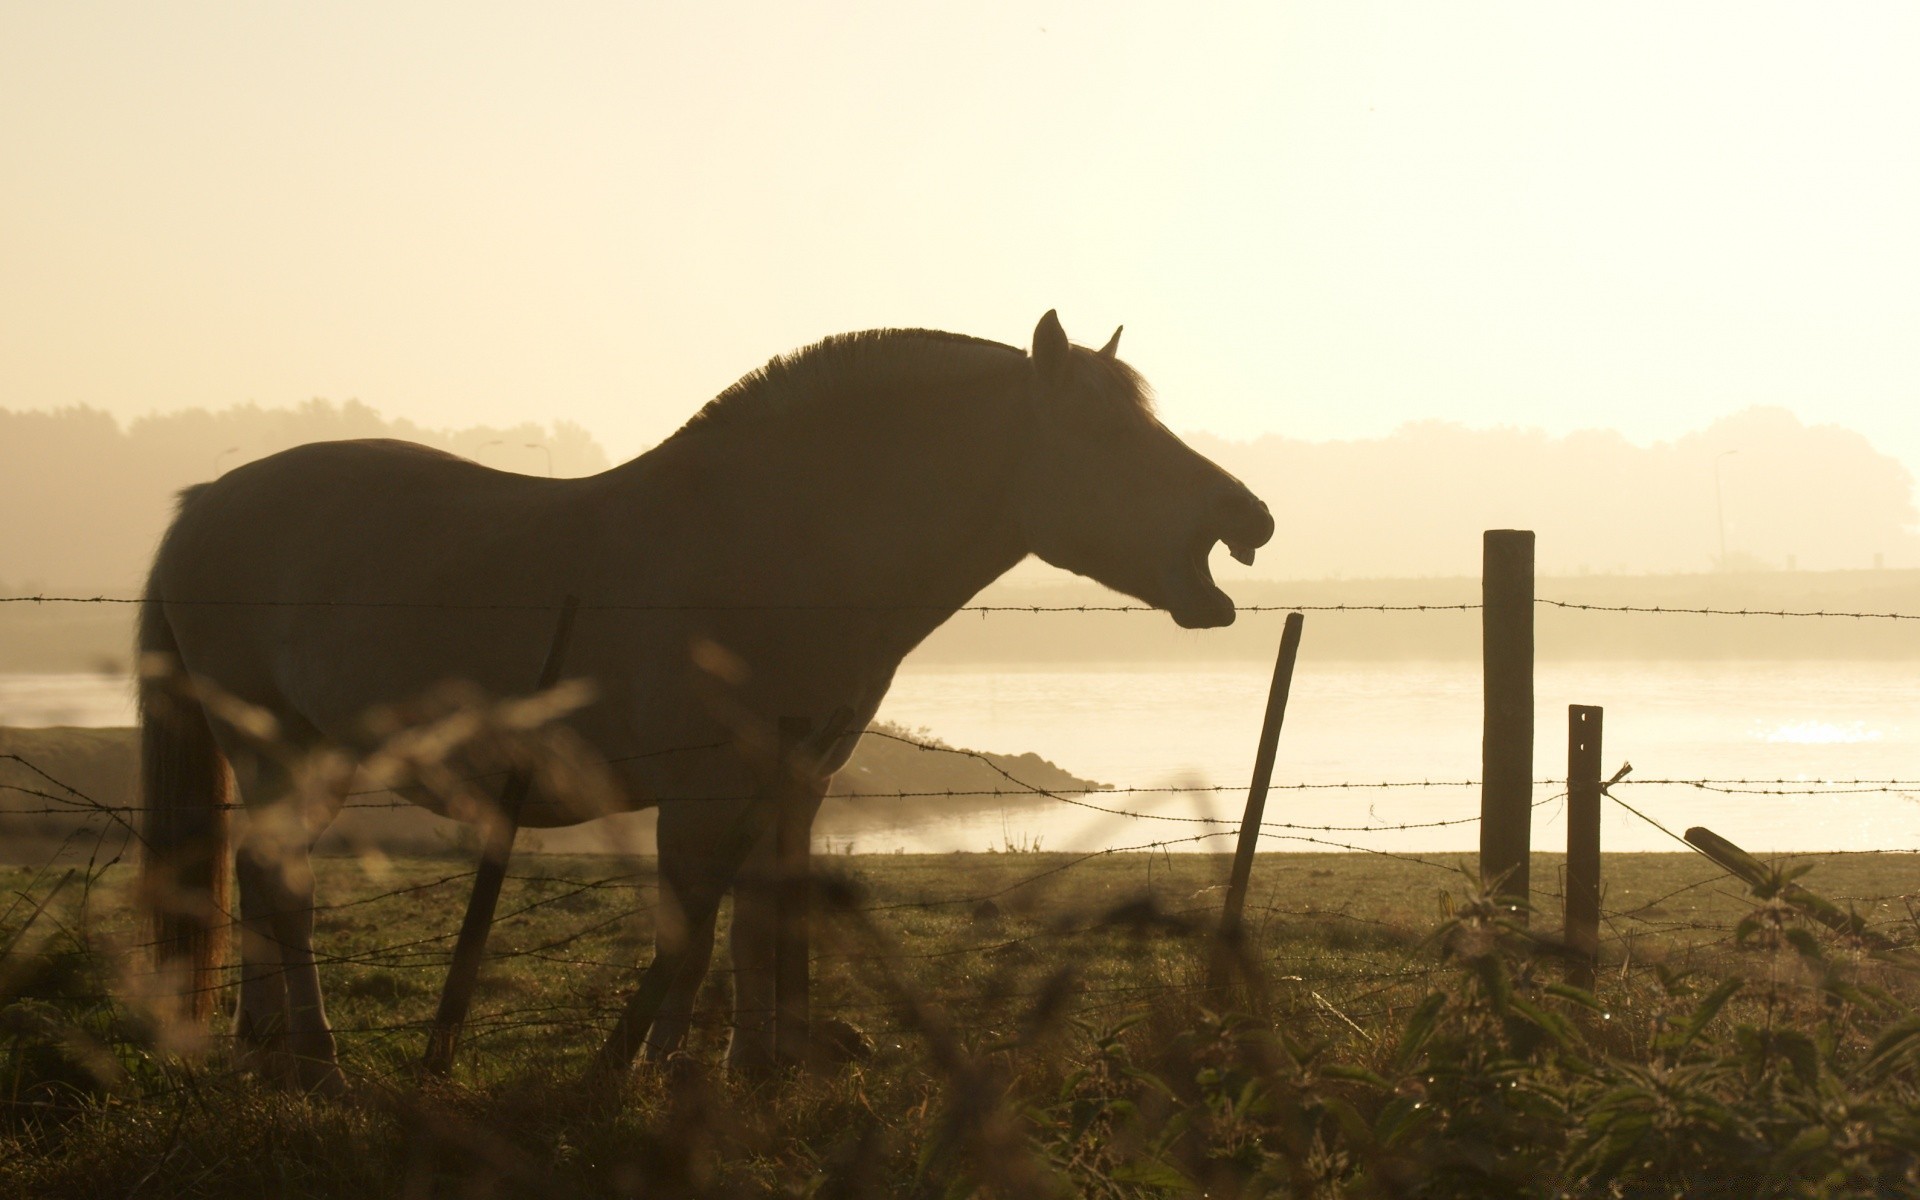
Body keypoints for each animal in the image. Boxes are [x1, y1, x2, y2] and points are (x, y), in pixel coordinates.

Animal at [139, 309, 1274, 1082]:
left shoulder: (792, 790)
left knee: (259, 881)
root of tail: (204, 505)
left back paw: (267, 1053)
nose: (1248, 516)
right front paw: (653, 1076)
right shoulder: (701, 798)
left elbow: (761, 928)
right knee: (282, 881)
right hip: (286, 752)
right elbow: (688, 942)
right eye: (1106, 437)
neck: (774, 548)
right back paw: (320, 1060)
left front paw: (760, 1077)